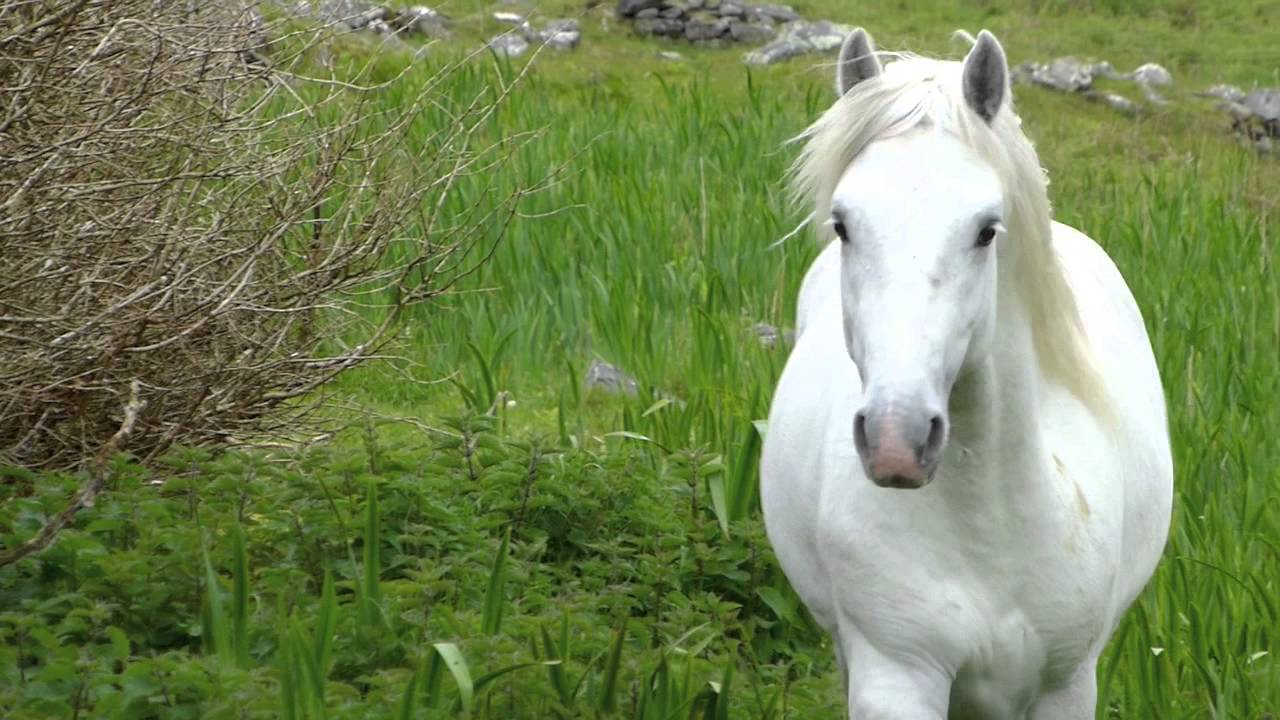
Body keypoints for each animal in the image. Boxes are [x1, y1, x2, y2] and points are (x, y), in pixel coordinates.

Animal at [759, 28, 1173, 719]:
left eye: (986, 230)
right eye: (843, 225)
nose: (896, 442)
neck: (994, 532)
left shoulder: (1067, 686)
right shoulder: (897, 677)